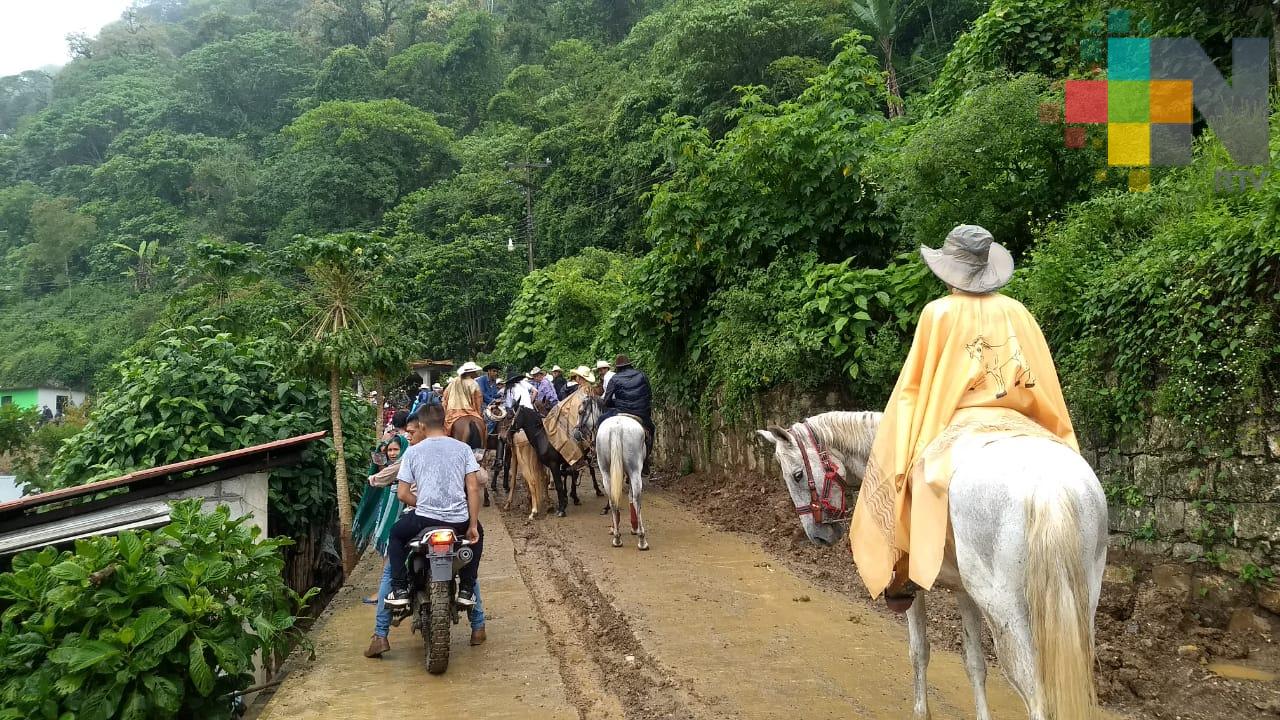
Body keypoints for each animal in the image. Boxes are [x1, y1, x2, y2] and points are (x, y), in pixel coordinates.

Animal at [752, 409, 1105, 717]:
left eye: (798, 475)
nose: (818, 536)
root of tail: (1047, 487)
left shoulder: (910, 587)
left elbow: (918, 651)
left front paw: (921, 712)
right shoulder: (964, 593)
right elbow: (974, 663)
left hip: (1007, 613)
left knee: (1036, 698)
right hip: (1079, 607)